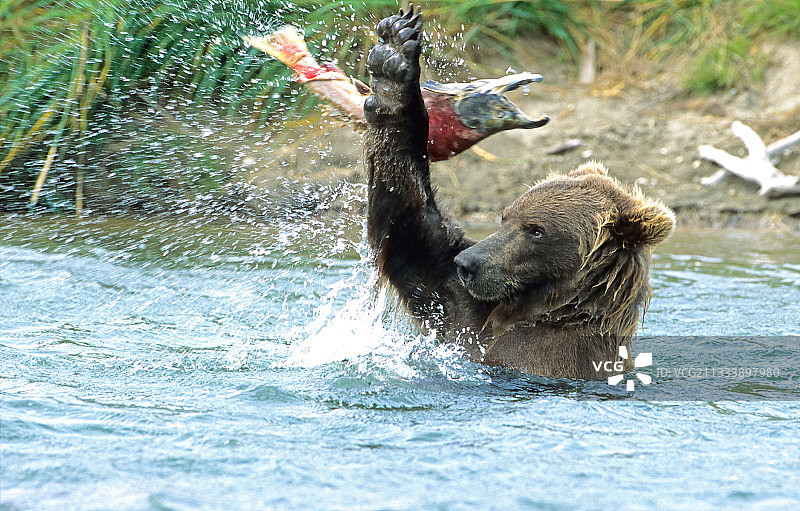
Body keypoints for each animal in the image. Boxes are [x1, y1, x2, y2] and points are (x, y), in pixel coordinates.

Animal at [362, 7, 675, 380]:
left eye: (536, 230)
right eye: (505, 216)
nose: (467, 263)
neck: (539, 311)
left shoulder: (544, 356)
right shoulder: (462, 309)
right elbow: (410, 229)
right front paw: (393, 58)